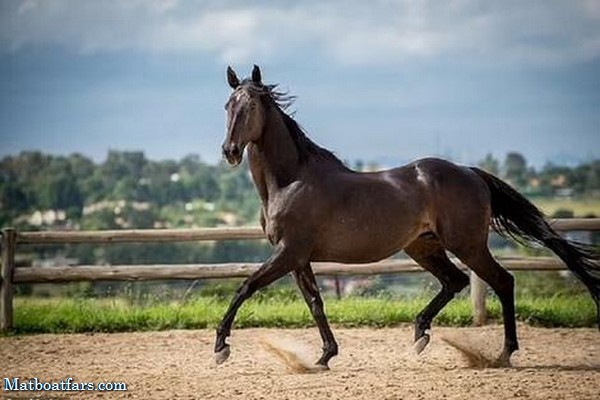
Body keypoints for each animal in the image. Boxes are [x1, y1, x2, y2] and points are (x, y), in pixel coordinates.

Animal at [216, 65, 600, 368]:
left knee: (502, 281)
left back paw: (503, 354)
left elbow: (245, 286)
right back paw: (420, 334)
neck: (290, 181)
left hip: (467, 244)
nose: (230, 151)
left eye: (251, 105)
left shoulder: (288, 252)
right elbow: (315, 302)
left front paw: (221, 347)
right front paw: (325, 355)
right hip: (424, 246)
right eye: (228, 105)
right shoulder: (298, 258)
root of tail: (471, 172)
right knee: (455, 281)